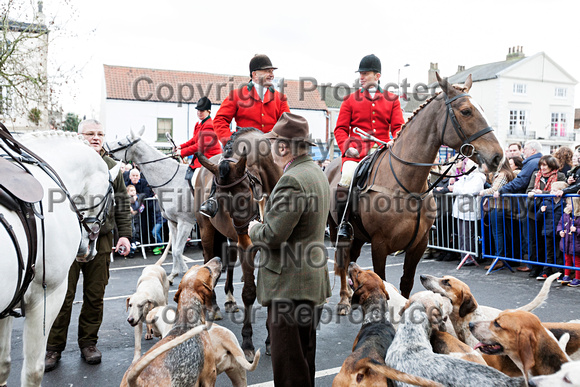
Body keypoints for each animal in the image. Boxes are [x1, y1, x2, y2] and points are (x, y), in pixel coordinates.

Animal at [195, 129, 280, 362]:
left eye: (246, 195)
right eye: (221, 198)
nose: (245, 233)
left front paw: (270, 340)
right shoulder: (247, 249)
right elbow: (250, 292)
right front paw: (248, 342)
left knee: (230, 263)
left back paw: (230, 299)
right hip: (208, 231)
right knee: (209, 261)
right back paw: (214, 305)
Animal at [328, 73, 506, 316]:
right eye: (466, 111)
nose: (498, 157)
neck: (407, 183)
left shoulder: (419, 244)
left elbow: (406, 282)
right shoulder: (379, 243)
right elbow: (381, 280)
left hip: (359, 236)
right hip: (341, 232)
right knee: (343, 262)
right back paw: (344, 301)